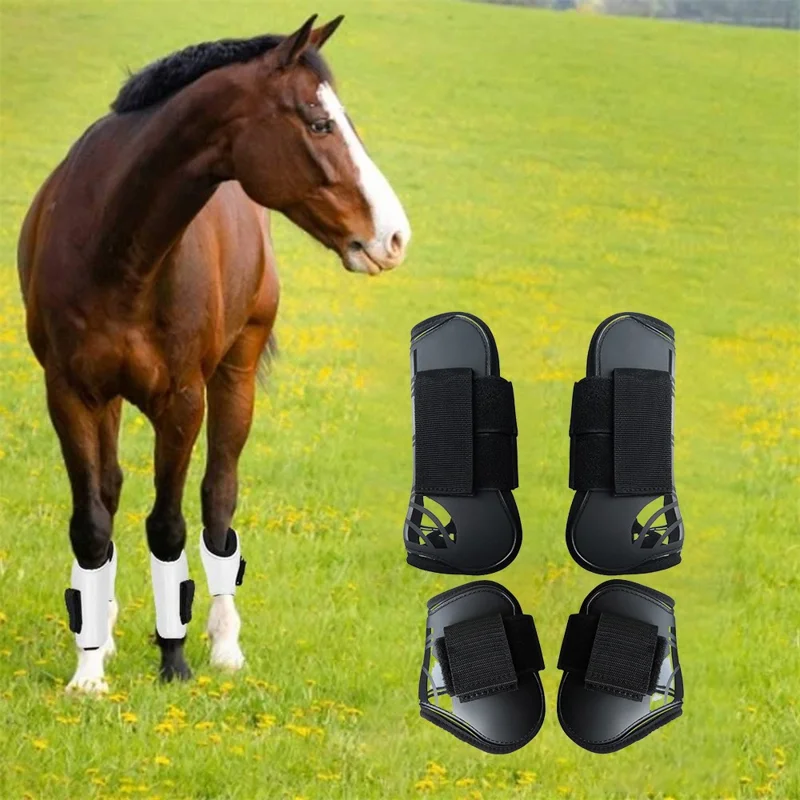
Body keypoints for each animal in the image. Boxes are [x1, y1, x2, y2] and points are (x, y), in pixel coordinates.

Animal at [16, 14, 410, 693]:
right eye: (319, 123)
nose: (394, 236)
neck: (115, 247)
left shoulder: (182, 402)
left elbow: (169, 526)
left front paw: (173, 661)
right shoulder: (69, 394)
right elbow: (92, 524)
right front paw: (88, 671)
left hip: (237, 376)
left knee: (218, 503)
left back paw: (225, 646)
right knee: (112, 493)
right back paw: (106, 631)